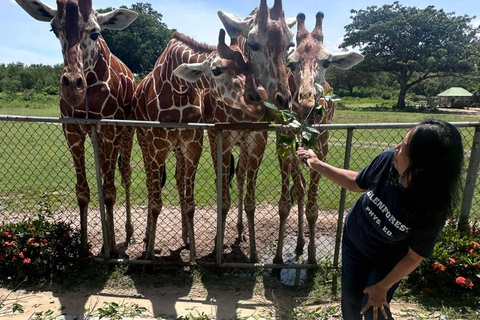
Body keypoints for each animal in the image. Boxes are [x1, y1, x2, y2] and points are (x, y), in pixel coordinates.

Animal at [15, 0, 139, 256]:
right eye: (54, 29)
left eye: (95, 33)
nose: (73, 87)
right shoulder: (72, 130)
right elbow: (83, 192)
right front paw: (84, 248)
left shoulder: (110, 129)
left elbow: (109, 192)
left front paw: (112, 250)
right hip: (97, 137)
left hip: (127, 132)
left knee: (126, 175)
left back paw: (129, 234)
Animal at [133, 28, 264, 262]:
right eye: (216, 70)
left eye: (249, 68)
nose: (257, 104)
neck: (177, 88)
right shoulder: (157, 145)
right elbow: (156, 203)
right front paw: (149, 255)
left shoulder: (193, 144)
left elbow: (190, 204)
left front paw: (193, 255)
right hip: (144, 143)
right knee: (150, 185)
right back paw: (148, 238)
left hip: (178, 150)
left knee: (179, 179)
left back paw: (185, 236)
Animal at [272, 11, 362, 264]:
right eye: (291, 63)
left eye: (327, 62)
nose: (307, 105)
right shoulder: (284, 145)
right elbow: (285, 204)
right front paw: (278, 257)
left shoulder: (321, 149)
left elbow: (313, 208)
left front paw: (312, 257)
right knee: (300, 188)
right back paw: (299, 243)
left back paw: (303, 245)